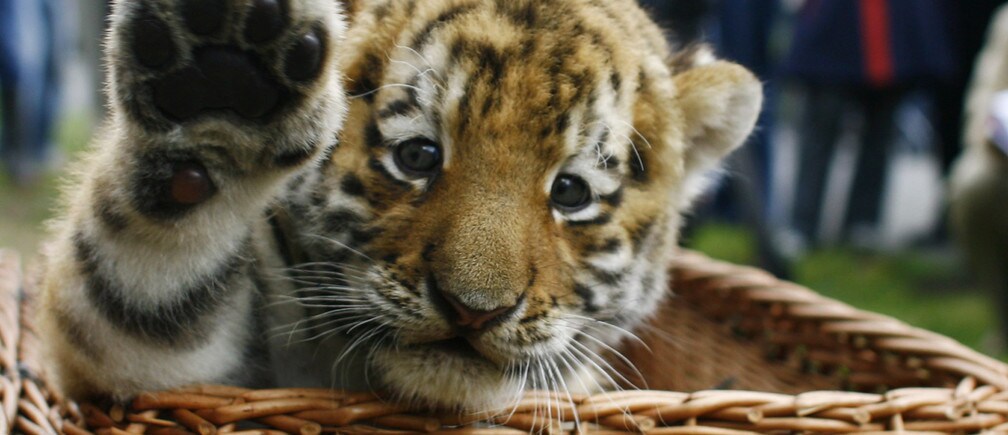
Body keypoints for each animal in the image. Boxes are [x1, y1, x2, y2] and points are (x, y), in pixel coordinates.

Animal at [39, 0, 762, 413]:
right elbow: (147, 270)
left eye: (570, 192)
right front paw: (217, 82)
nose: (474, 310)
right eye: (418, 156)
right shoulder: (171, 369)